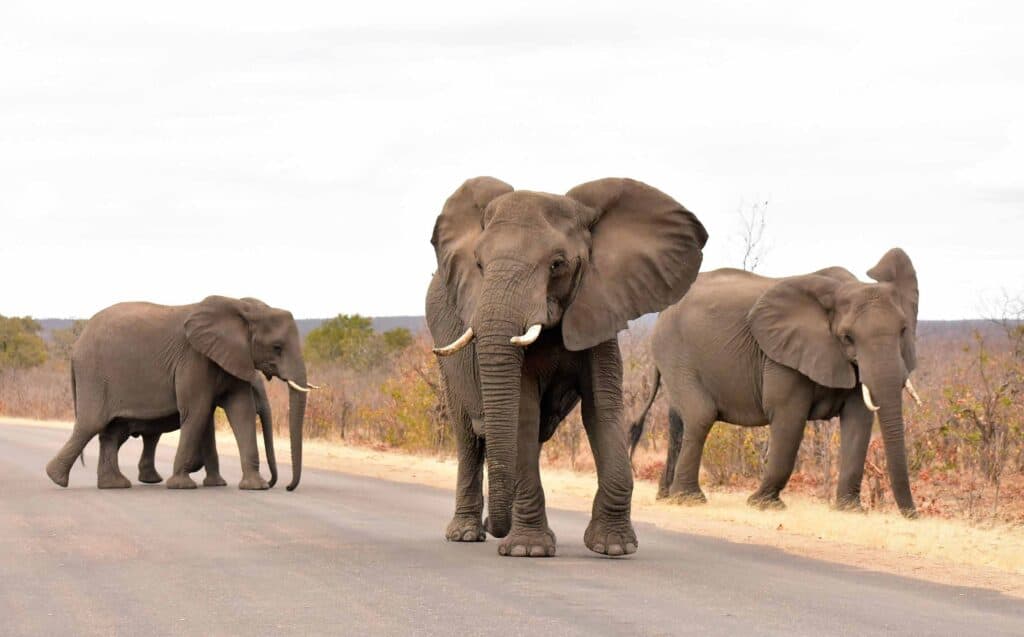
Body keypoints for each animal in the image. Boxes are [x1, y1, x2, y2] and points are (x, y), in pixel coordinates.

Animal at [46, 296, 314, 491]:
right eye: (277, 347)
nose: (285, 486)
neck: (242, 306)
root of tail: (75, 347)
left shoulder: (231, 358)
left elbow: (240, 413)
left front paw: (249, 487)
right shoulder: (194, 359)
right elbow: (197, 412)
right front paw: (182, 485)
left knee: (111, 433)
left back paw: (114, 485)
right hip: (95, 375)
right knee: (91, 424)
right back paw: (56, 479)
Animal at [426, 177, 708, 557]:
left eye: (557, 264)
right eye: (479, 265)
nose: (496, 529)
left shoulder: (600, 309)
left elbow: (603, 409)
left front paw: (613, 546)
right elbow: (524, 411)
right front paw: (527, 551)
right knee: (469, 437)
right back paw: (467, 534)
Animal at [629, 248, 921, 517]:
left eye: (903, 330)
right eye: (847, 337)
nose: (913, 515)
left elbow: (859, 421)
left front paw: (850, 510)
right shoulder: (781, 358)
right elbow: (788, 417)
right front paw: (763, 504)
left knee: (678, 419)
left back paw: (666, 497)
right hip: (674, 352)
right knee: (700, 415)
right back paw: (689, 499)